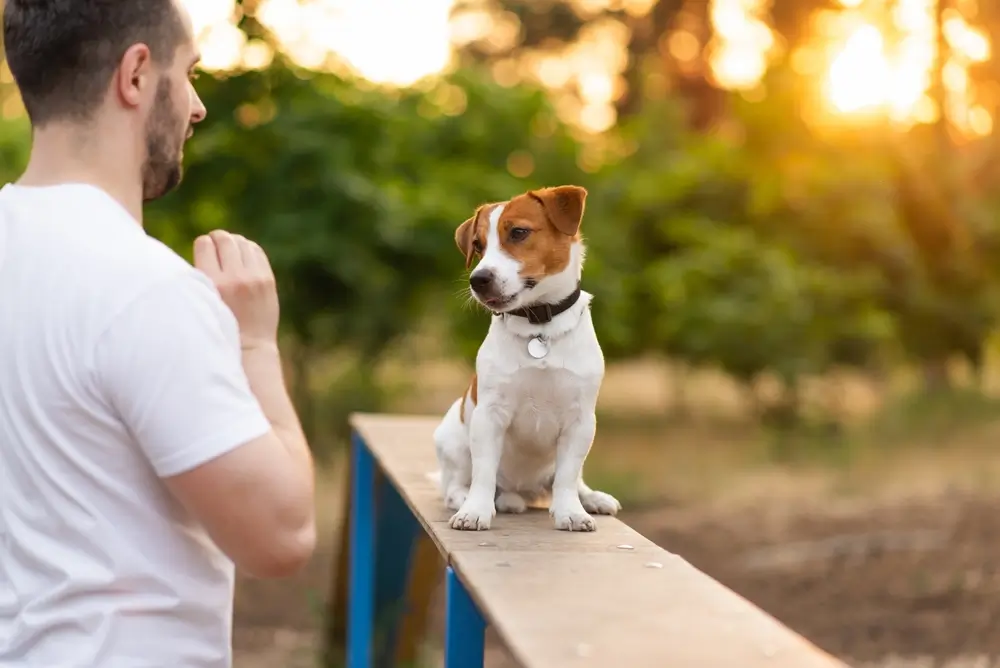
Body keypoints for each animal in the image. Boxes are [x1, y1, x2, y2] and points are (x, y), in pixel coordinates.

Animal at [434, 184, 620, 532]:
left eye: (518, 232)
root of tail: (524, 490)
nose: (478, 279)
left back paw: (591, 498)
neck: (539, 326)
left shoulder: (580, 421)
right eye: (477, 246)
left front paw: (570, 511)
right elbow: (483, 473)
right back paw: (482, 499)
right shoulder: (489, 415)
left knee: (571, 481)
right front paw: (475, 511)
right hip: (453, 440)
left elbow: (566, 478)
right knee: (457, 485)